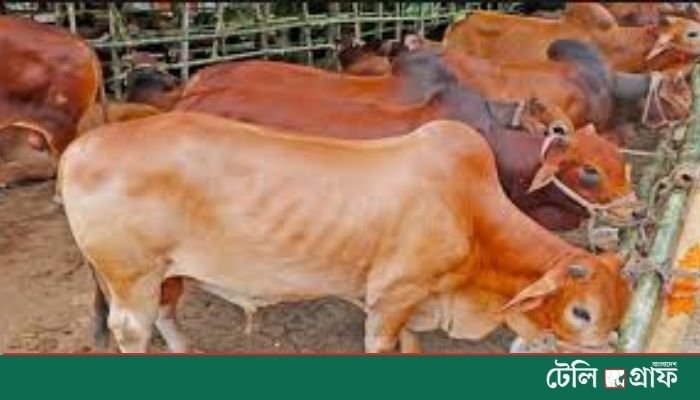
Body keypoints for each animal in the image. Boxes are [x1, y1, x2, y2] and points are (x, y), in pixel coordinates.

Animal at [58, 114, 631, 353]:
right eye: (582, 312)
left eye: (621, 311)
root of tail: (81, 147)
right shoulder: (390, 298)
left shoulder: (410, 304)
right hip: (131, 277)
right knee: (132, 331)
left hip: (166, 273)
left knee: (167, 314)